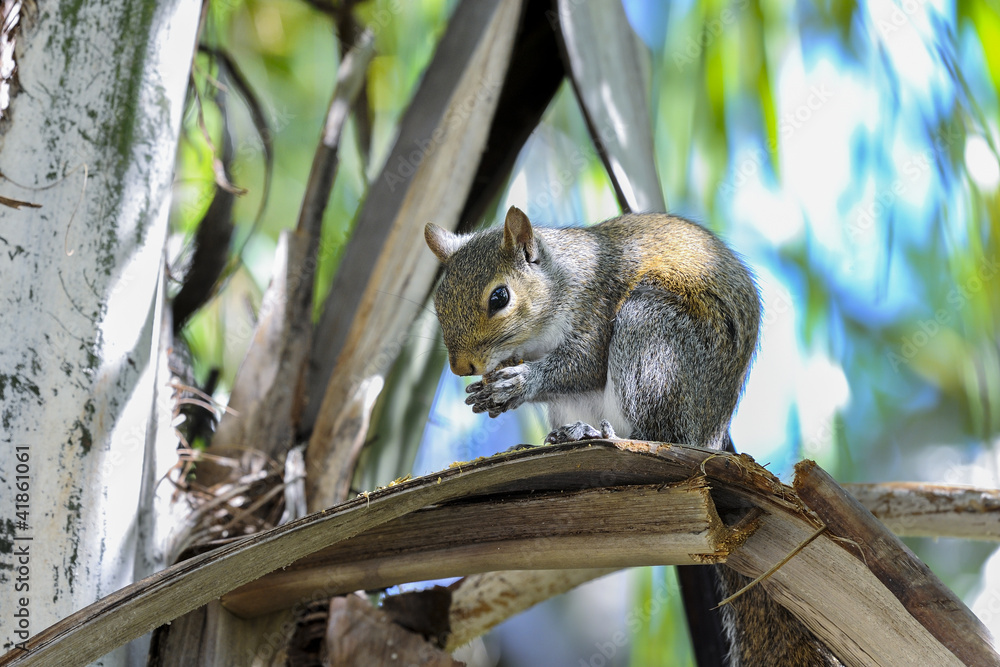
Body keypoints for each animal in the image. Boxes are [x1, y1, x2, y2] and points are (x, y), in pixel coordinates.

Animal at [424, 206, 840, 666]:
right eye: (438, 301)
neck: (560, 281)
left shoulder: (595, 308)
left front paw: (519, 383)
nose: (460, 366)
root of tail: (710, 439)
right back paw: (557, 438)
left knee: (654, 433)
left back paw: (601, 434)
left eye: (499, 298)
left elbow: (583, 365)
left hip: (653, 337)